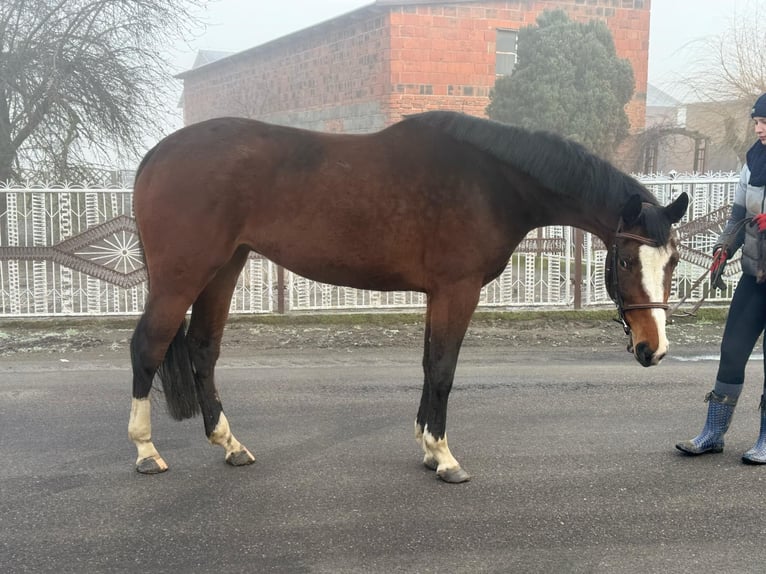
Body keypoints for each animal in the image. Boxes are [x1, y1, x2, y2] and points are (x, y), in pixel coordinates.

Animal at [127, 110, 688, 484]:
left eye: (675, 262)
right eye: (624, 262)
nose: (653, 348)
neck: (492, 182)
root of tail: (156, 155)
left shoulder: (437, 293)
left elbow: (427, 365)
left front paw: (426, 447)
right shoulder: (457, 290)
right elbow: (443, 369)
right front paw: (445, 457)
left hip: (226, 267)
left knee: (202, 349)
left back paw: (230, 444)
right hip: (183, 276)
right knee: (148, 348)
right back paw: (146, 451)